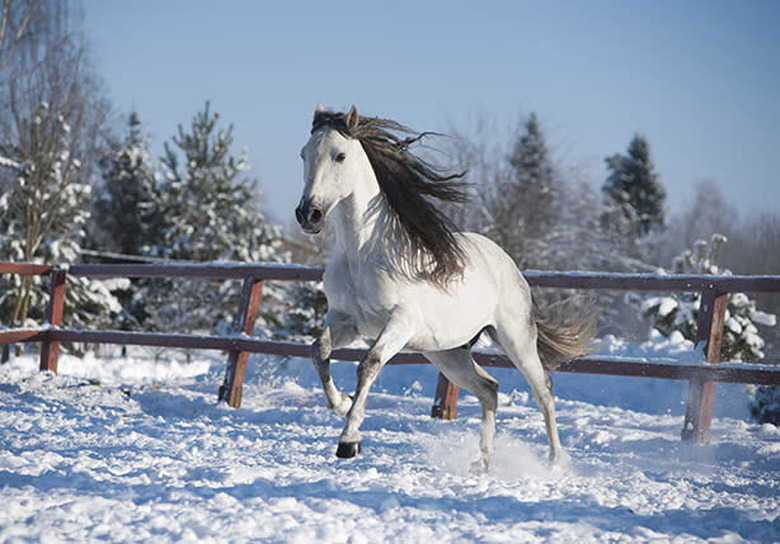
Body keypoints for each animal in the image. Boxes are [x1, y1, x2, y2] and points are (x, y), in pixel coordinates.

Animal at [295, 104, 594, 469]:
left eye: (340, 155)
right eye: (304, 154)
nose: (308, 214)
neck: (363, 253)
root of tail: (509, 266)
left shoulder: (400, 322)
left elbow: (369, 364)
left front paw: (349, 441)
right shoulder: (344, 319)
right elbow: (319, 351)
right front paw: (341, 403)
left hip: (515, 339)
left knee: (544, 391)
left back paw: (554, 463)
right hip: (447, 354)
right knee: (489, 389)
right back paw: (481, 463)